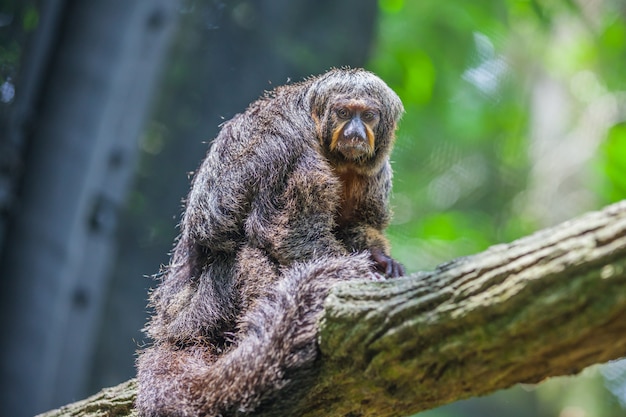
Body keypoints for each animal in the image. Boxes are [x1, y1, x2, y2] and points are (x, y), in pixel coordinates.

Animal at [134, 66, 402, 414]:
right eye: (343, 113)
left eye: (368, 116)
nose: (354, 132)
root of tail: (171, 328)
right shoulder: (292, 149)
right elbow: (285, 235)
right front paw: (365, 271)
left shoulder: (374, 171)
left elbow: (357, 224)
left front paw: (381, 259)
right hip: (205, 309)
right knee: (248, 252)